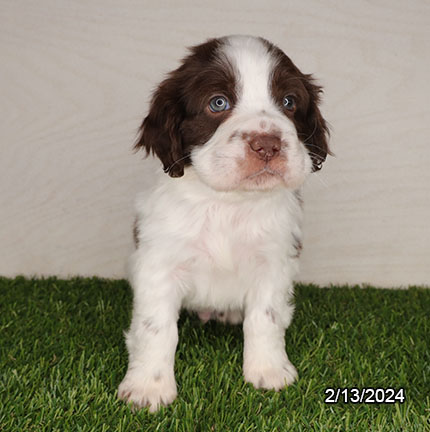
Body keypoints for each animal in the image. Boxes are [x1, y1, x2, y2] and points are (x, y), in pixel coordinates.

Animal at [117, 34, 330, 412]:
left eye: (289, 102)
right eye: (218, 103)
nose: (267, 145)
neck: (229, 204)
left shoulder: (275, 261)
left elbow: (266, 317)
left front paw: (268, 371)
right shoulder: (158, 262)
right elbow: (155, 327)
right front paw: (147, 388)